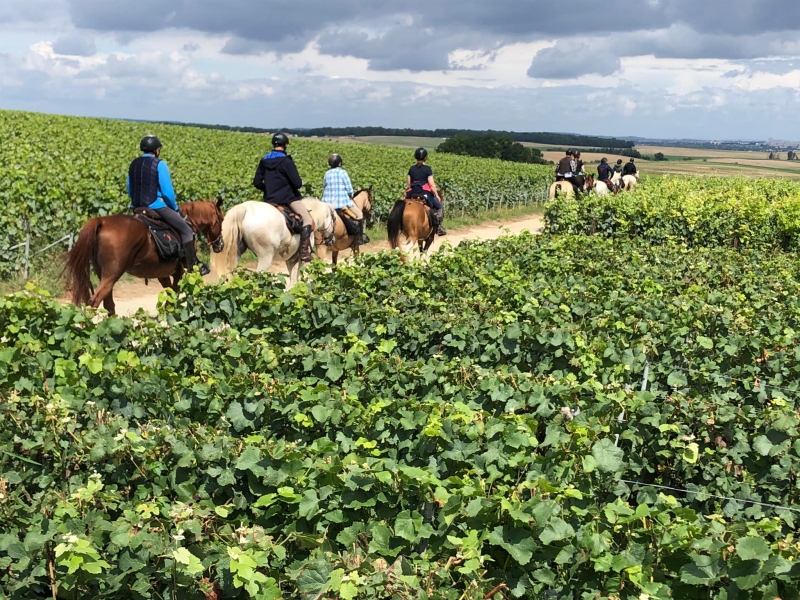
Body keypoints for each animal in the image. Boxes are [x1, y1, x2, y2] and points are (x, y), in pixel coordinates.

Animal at [65, 200, 225, 316]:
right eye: (222, 219)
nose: (220, 245)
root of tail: (102, 221)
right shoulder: (179, 272)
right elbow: (173, 295)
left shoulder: (162, 273)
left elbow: (169, 294)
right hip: (112, 274)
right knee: (94, 302)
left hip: (103, 274)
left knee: (108, 304)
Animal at [208, 196, 336, 282]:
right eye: (334, 218)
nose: (332, 240)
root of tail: (245, 208)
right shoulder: (298, 259)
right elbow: (294, 280)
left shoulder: (290, 259)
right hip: (265, 257)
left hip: (236, 254)